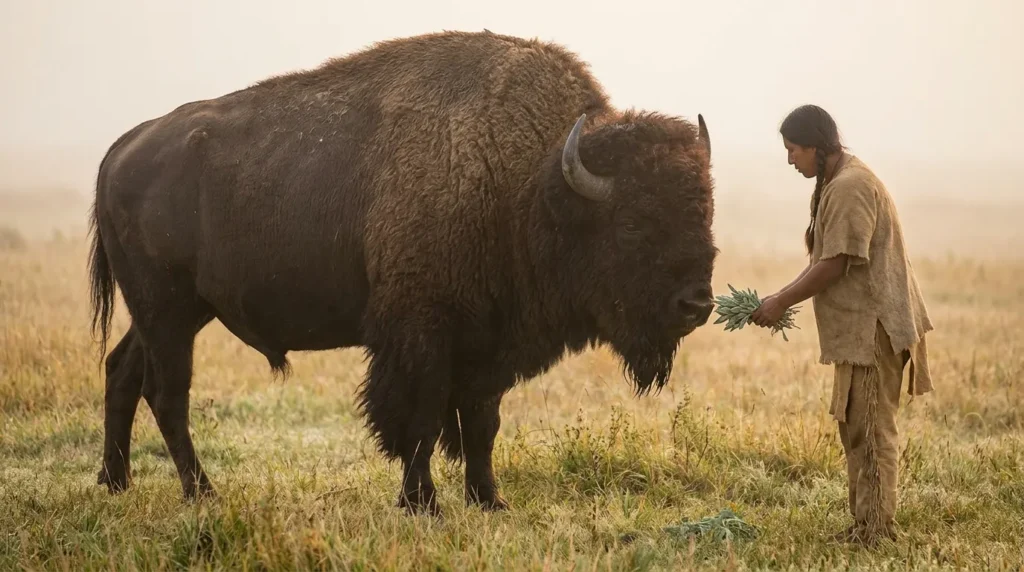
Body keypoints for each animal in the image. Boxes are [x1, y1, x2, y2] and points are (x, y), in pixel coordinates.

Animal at [88, 30, 717, 516]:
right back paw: (201, 492)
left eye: (705, 213)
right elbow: (420, 421)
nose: (697, 305)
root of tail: (122, 148)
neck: (530, 185)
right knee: (167, 392)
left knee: (123, 371)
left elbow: (480, 424)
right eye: (633, 225)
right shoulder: (421, 336)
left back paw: (115, 483)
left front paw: (490, 500)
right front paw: (423, 504)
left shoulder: (487, 345)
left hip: (175, 313)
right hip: (166, 310)